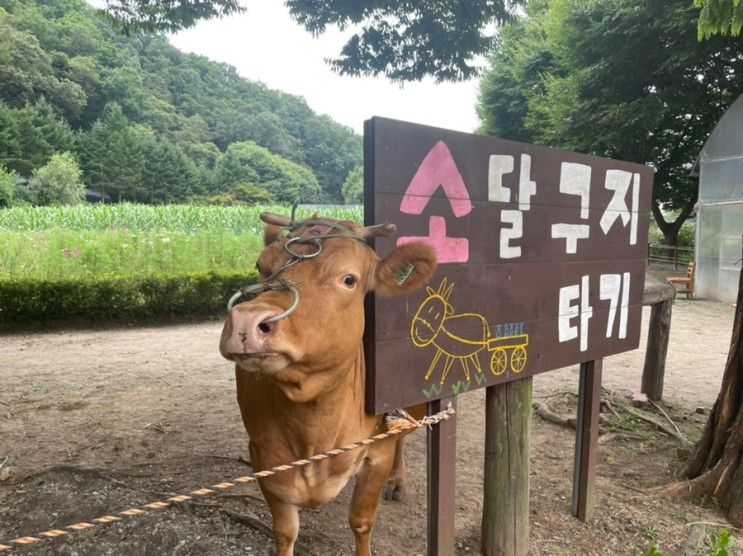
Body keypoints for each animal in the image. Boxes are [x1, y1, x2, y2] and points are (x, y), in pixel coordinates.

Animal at [221, 213, 438, 556]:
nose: (245, 321)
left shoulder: (377, 452)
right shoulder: (261, 456)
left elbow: (361, 521)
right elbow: (284, 531)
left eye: (349, 279)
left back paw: (397, 481)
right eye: (261, 266)